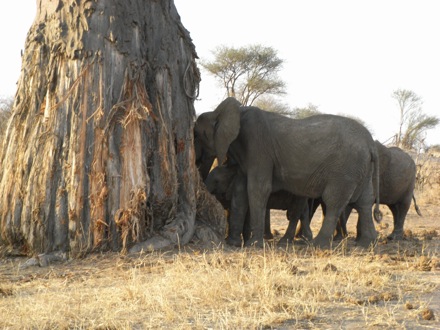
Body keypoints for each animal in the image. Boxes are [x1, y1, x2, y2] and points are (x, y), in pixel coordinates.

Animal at [196, 97, 382, 248]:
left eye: (200, 134)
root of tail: (371, 144)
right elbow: (241, 191)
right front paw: (235, 244)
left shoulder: (258, 146)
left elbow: (258, 188)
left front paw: (253, 245)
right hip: (362, 168)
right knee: (365, 201)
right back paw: (367, 244)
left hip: (345, 169)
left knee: (333, 201)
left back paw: (318, 245)